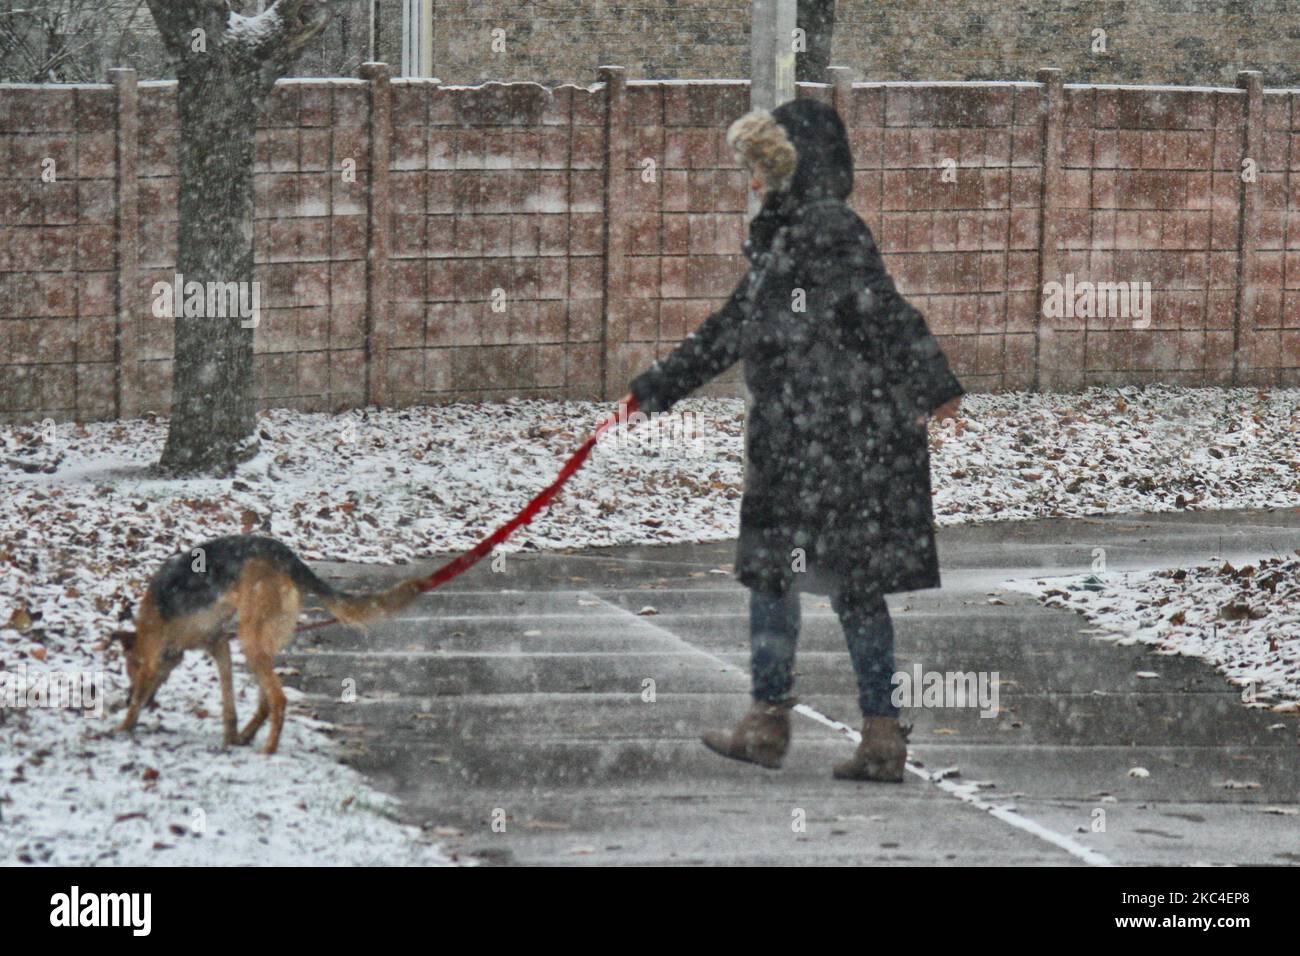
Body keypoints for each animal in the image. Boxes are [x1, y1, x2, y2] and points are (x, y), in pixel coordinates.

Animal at [116, 538, 421, 754]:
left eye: (129, 667)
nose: (126, 697)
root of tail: (288, 558)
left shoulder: (153, 660)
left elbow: (140, 697)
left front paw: (121, 727)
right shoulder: (219, 645)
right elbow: (228, 704)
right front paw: (230, 737)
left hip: (250, 637)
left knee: (278, 698)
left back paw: (269, 750)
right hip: (258, 641)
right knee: (265, 701)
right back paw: (246, 737)